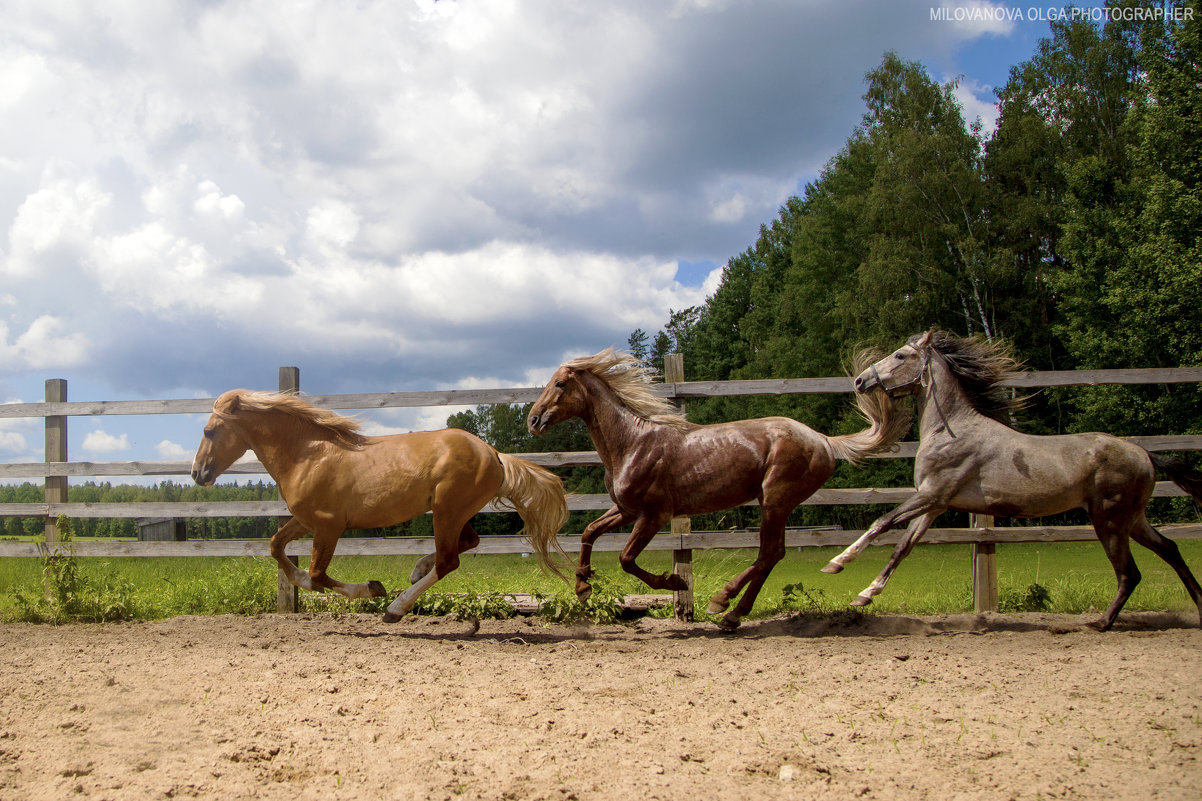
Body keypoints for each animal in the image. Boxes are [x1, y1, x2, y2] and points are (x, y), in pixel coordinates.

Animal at [191, 389, 567, 620]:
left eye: (209, 431)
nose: (197, 473)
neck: (307, 456)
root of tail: (495, 454)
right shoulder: (307, 520)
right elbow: (276, 548)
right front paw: (302, 581)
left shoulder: (329, 524)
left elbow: (317, 573)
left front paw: (373, 588)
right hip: (455, 511)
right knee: (466, 543)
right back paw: (416, 569)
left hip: (448, 510)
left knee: (449, 560)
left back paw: (396, 608)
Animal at [528, 346, 908, 625]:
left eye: (559, 384)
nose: (533, 419)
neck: (633, 443)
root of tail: (825, 441)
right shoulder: (626, 510)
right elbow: (590, 532)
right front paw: (582, 587)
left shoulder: (654, 514)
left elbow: (626, 558)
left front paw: (675, 582)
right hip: (773, 503)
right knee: (773, 554)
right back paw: (732, 613)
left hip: (775, 500)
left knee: (770, 553)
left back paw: (722, 603)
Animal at [822, 329, 1202, 630]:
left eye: (901, 355)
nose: (860, 381)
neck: (952, 430)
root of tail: (1145, 454)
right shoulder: (936, 504)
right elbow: (902, 547)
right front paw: (865, 595)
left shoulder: (931, 495)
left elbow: (882, 522)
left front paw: (836, 564)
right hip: (1132, 519)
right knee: (1170, 548)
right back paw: (1198, 608)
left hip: (1109, 520)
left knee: (1129, 573)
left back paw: (1101, 623)